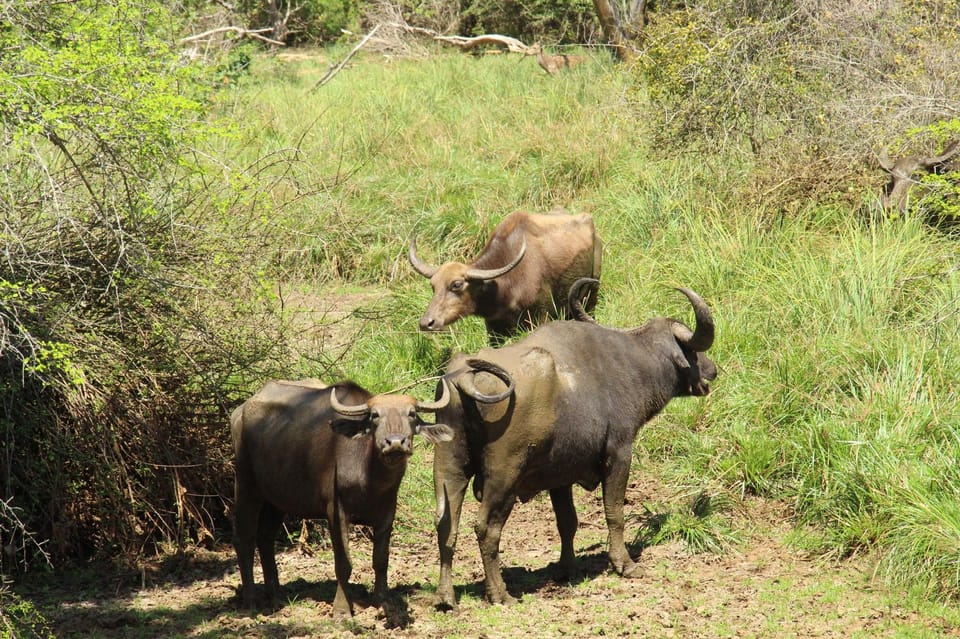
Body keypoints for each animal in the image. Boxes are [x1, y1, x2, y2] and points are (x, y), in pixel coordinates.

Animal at [404, 208, 600, 342]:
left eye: (457, 284)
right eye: (433, 286)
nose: (426, 323)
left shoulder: (541, 318)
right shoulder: (493, 329)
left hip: (591, 294)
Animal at [432, 286, 716, 608]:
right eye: (692, 351)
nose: (712, 370)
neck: (630, 364)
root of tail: (465, 377)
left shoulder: (559, 475)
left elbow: (567, 521)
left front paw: (567, 567)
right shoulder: (619, 453)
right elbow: (614, 511)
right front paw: (624, 564)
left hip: (449, 466)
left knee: (445, 525)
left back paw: (446, 597)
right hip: (503, 475)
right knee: (486, 529)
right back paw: (500, 594)